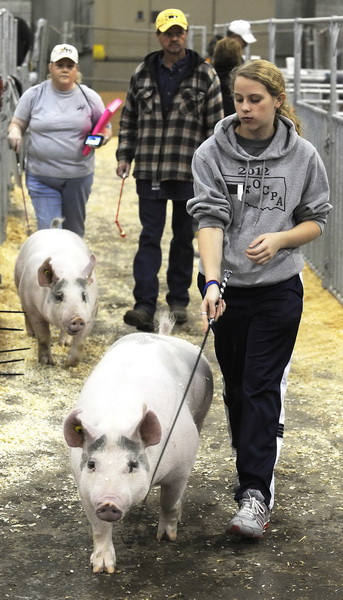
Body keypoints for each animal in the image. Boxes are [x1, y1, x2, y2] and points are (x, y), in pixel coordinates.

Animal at [14, 227, 98, 366]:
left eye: (84, 296)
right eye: (59, 296)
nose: (78, 319)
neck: (68, 271)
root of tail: (54, 228)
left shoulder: (91, 313)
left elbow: (80, 342)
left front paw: (68, 364)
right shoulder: (34, 310)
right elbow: (44, 336)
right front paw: (48, 363)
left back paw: (64, 344)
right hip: (18, 283)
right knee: (24, 312)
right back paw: (31, 334)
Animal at [62, 322, 212, 576]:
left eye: (132, 465)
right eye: (92, 464)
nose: (108, 503)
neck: (116, 423)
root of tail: (161, 335)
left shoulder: (180, 469)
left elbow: (169, 503)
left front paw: (166, 538)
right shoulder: (84, 487)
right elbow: (99, 527)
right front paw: (103, 569)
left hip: (201, 414)